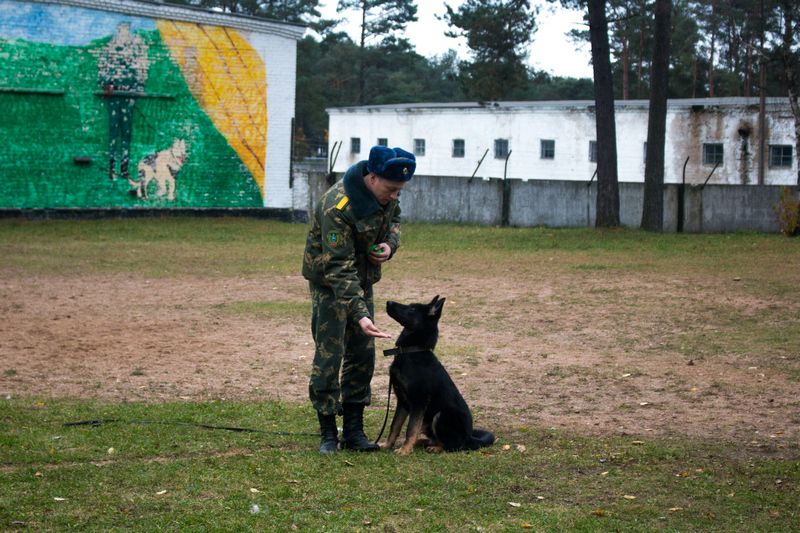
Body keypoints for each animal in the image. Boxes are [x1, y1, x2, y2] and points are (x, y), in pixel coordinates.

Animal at [382, 296, 494, 454]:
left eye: (412, 309)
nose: (388, 302)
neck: (412, 351)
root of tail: (469, 438)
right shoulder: (402, 402)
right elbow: (394, 426)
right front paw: (387, 445)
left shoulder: (419, 402)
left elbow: (411, 429)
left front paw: (404, 450)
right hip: (427, 422)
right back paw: (422, 442)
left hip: (441, 416)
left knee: (454, 445)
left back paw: (435, 448)